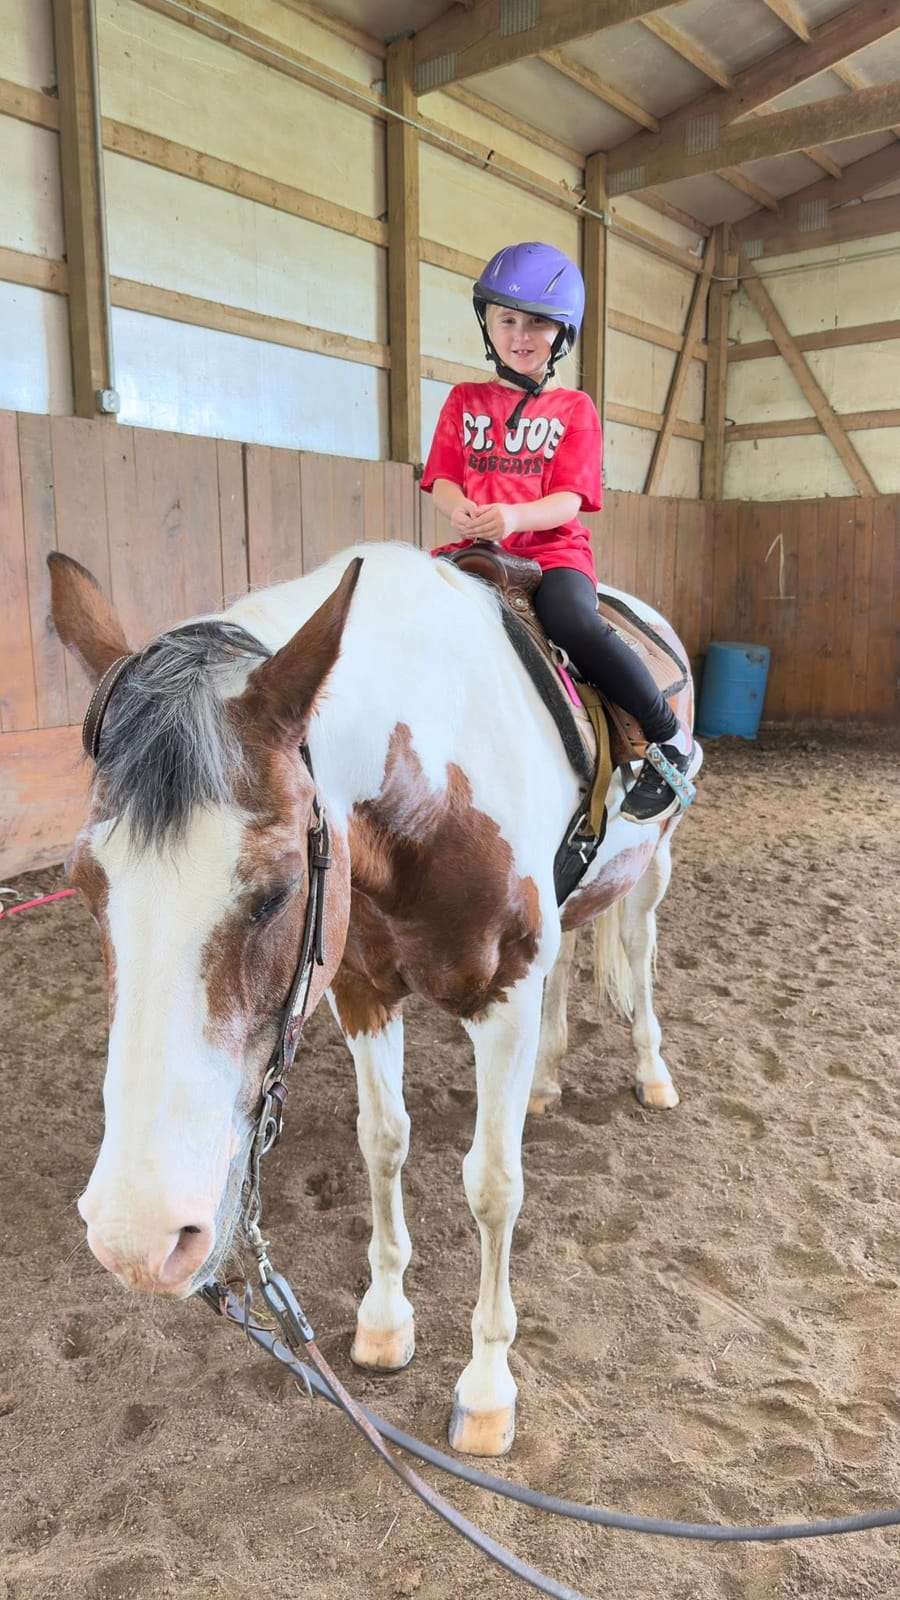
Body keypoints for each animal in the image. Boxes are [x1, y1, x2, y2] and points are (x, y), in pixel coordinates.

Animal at [49, 539, 694, 1458]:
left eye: (280, 890)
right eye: (83, 881)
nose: (137, 1235)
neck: (437, 792)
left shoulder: (505, 1000)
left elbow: (493, 1183)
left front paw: (486, 1389)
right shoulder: (360, 991)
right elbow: (382, 1143)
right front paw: (385, 1322)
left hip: (653, 869)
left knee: (637, 956)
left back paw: (652, 1074)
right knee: (571, 960)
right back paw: (548, 1082)